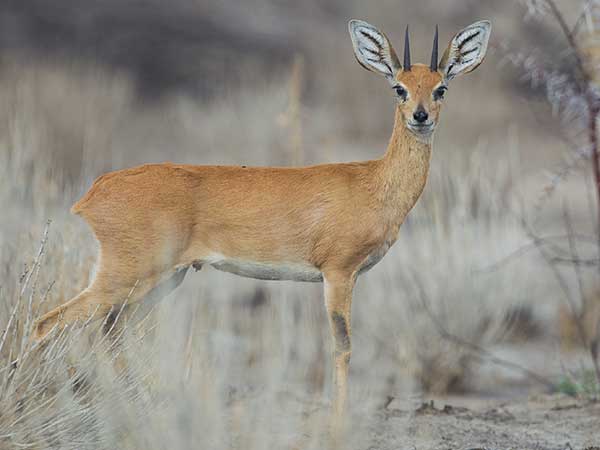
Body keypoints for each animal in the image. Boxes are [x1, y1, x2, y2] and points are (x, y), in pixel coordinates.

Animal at [32, 20, 490, 414]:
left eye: (441, 88)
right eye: (399, 88)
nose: (420, 116)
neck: (373, 183)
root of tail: (94, 191)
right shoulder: (338, 272)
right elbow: (341, 346)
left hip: (160, 280)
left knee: (110, 334)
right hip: (125, 277)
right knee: (48, 323)